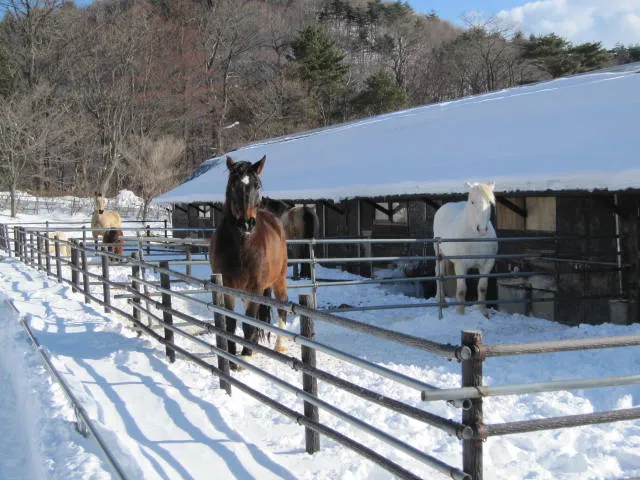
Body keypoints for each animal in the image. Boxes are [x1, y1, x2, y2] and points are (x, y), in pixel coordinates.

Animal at [210, 155, 289, 364]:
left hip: (279, 279)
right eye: (233, 185)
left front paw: (245, 355)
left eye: (257, 186)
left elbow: (249, 322)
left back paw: (280, 345)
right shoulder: (226, 286)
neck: (242, 246)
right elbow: (230, 323)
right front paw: (231, 354)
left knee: (282, 306)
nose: (246, 223)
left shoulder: (256, 287)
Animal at [433, 182, 498, 317]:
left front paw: (482, 311)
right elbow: (462, 290)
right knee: (439, 274)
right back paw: (442, 301)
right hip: (439, 254)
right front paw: (460, 313)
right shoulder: (461, 265)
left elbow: (482, 287)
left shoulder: (488, 263)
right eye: (472, 202)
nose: (482, 229)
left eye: (490, 202)